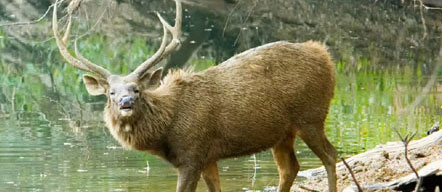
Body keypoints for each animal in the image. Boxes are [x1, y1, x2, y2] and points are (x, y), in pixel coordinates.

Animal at [52, 0, 338, 192]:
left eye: (137, 89)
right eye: (111, 92)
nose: (125, 103)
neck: (166, 132)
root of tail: (325, 56)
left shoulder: (193, 154)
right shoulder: (209, 157)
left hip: (311, 116)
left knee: (330, 155)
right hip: (282, 133)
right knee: (290, 169)